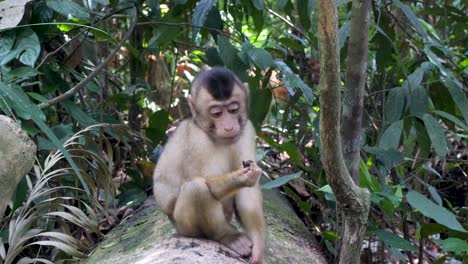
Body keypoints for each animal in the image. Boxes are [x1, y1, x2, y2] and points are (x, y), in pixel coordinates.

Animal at [152, 67, 266, 262]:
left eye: (233, 109)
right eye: (217, 113)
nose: (229, 127)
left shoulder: (247, 130)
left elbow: (248, 194)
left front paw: (259, 248)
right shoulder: (197, 140)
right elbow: (202, 181)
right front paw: (239, 178)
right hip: (184, 227)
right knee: (196, 188)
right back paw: (227, 237)